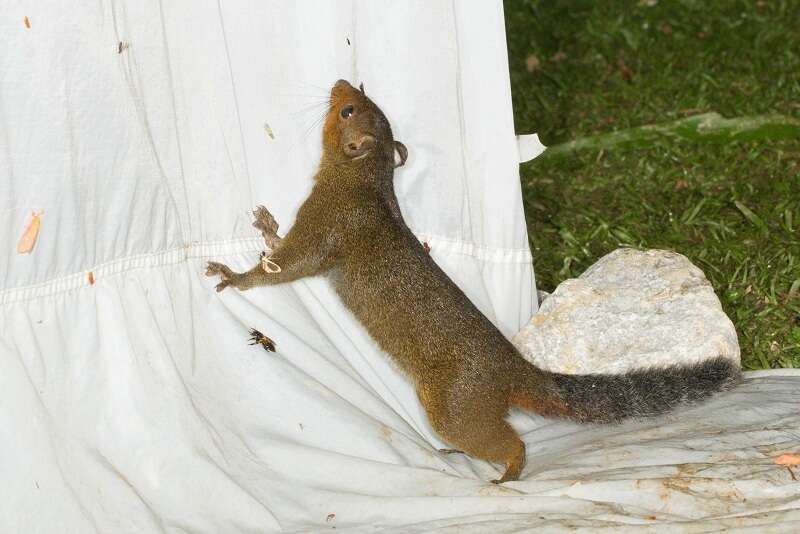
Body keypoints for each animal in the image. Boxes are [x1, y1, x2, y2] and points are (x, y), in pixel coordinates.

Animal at [205, 79, 736, 486]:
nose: (339, 81)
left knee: (509, 440)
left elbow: (288, 264)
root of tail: (515, 372)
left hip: (452, 407)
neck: (365, 182)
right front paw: (265, 225)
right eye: (361, 96)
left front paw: (233, 275)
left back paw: (507, 473)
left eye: (348, 109)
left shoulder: (328, 226)